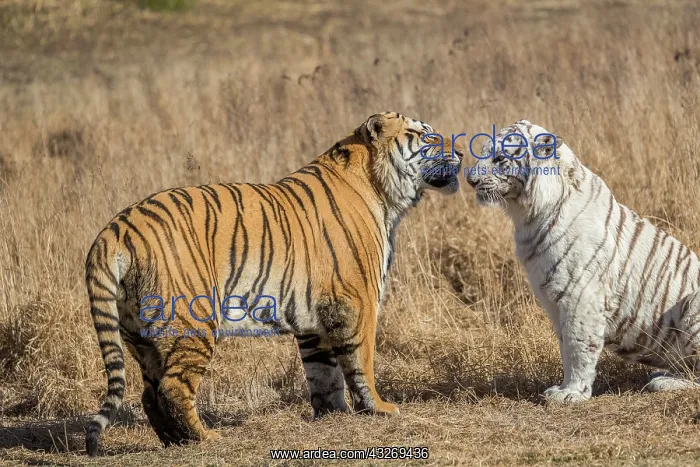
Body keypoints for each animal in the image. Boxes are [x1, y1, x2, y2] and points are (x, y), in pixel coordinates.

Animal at [84, 111, 463, 455]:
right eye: (426, 136)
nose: (461, 151)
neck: (381, 191)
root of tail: (115, 229)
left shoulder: (314, 315)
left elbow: (323, 372)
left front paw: (333, 415)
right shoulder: (358, 300)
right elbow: (362, 359)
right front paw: (379, 408)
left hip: (138, 333)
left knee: (149, 393)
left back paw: (174, 442)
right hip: (192, 320)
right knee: (171, 388)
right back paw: (204, 438)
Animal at [466, 119, 700, 403]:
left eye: (499, 158)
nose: (470, 180)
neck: (529, 215)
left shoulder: (580, 295)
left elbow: (577, 345)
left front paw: (572, 393)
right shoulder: (553, 300)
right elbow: (565, 346)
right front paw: (564, 387)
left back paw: (663, 381)